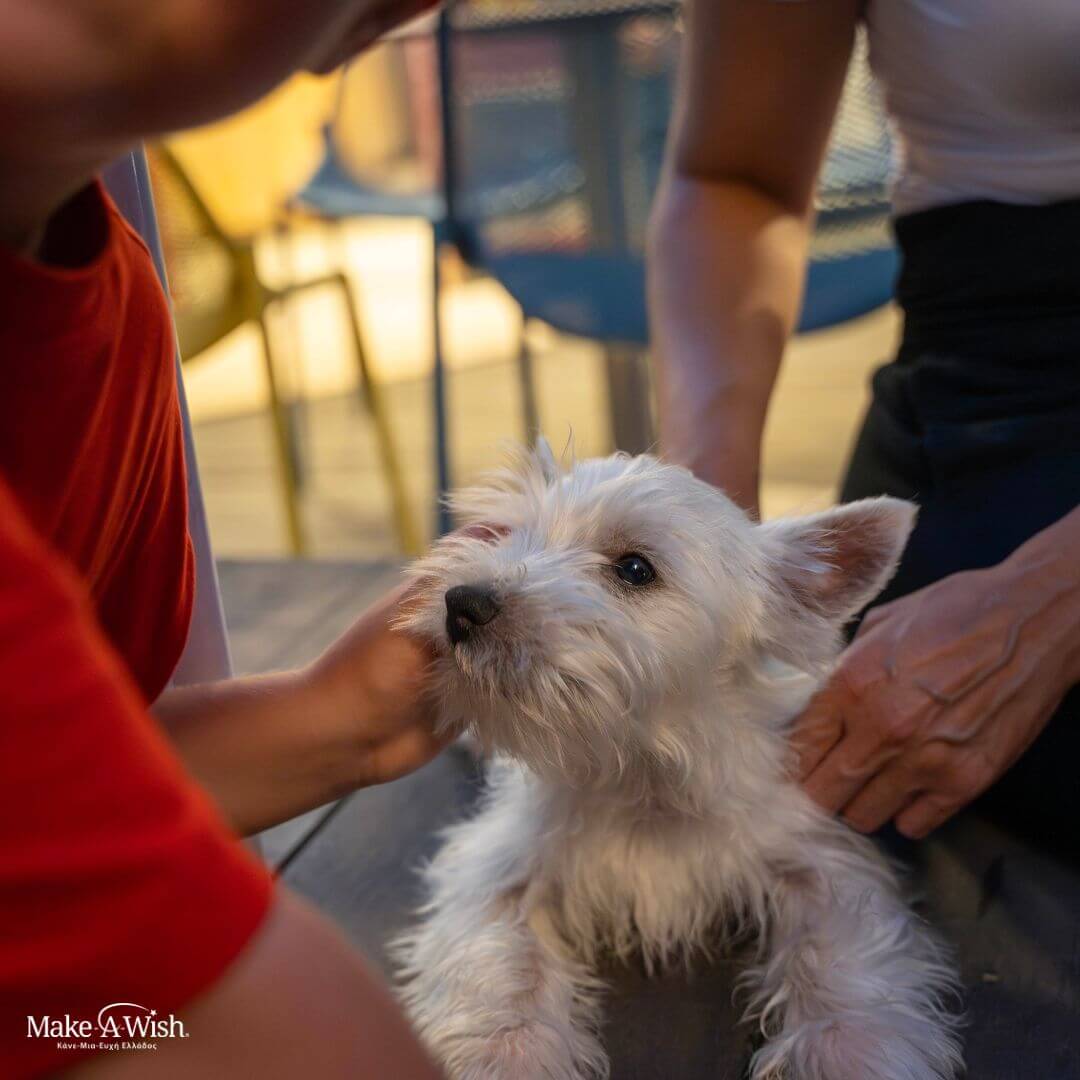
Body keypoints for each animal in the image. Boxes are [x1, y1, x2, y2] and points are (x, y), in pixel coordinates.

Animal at [395, 442, 962, 1080]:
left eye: (635, 569)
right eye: (512, 534)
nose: (462, 603)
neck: (647, 771)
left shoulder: (819, 860)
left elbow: (839, 953)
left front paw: (851, 1050)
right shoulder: (501, 865)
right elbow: (505, 966)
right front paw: (506, 1053)